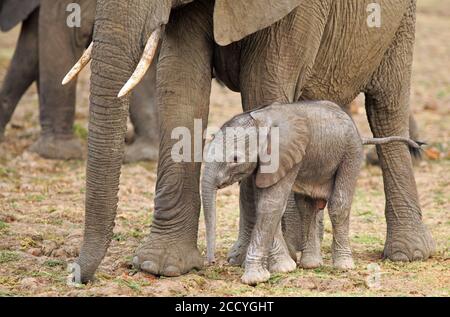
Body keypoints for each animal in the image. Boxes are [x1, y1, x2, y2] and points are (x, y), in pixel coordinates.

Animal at [202, 100, 420, 286]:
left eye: (235, 159)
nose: (210, 263)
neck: (260, 120)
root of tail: (360, 134)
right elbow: (267, 204)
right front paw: (284, 268)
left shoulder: (284, 156)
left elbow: (271, 204)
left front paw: (255, 279)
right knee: (307, 207)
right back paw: (311, 264)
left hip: (351, 153)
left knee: (338, 204)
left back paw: (343, 266)